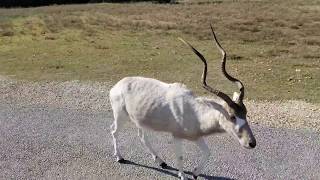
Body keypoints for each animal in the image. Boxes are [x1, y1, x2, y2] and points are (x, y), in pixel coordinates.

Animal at [109, 25, 256, 180]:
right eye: (232, 116)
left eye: (246, 114)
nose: (252, 143)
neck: (195, 112)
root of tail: (117, 86)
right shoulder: (177, 136)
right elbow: (180, 157)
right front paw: (183, 175)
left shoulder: (196, 136)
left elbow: (207, 152)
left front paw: (195, 173)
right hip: (121, 115)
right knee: (114, 131)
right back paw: (119, 157)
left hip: (140, 120)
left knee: (142, 137)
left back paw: (161, 162)